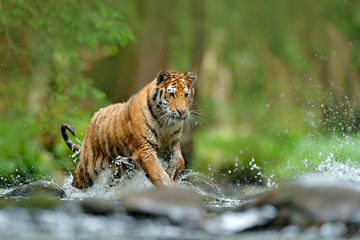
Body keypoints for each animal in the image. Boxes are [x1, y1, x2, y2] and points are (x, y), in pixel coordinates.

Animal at [62, 70, 197, 188]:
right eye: (171, 94)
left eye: (186, 95)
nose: (182, 112)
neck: (165, 124)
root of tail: (92, 119)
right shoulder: (144, 148)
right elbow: (157, 172)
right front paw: (169, 186)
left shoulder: (172, 144)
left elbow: (180, 161)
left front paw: (172, 173)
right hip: (88, 169)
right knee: (76, 180)